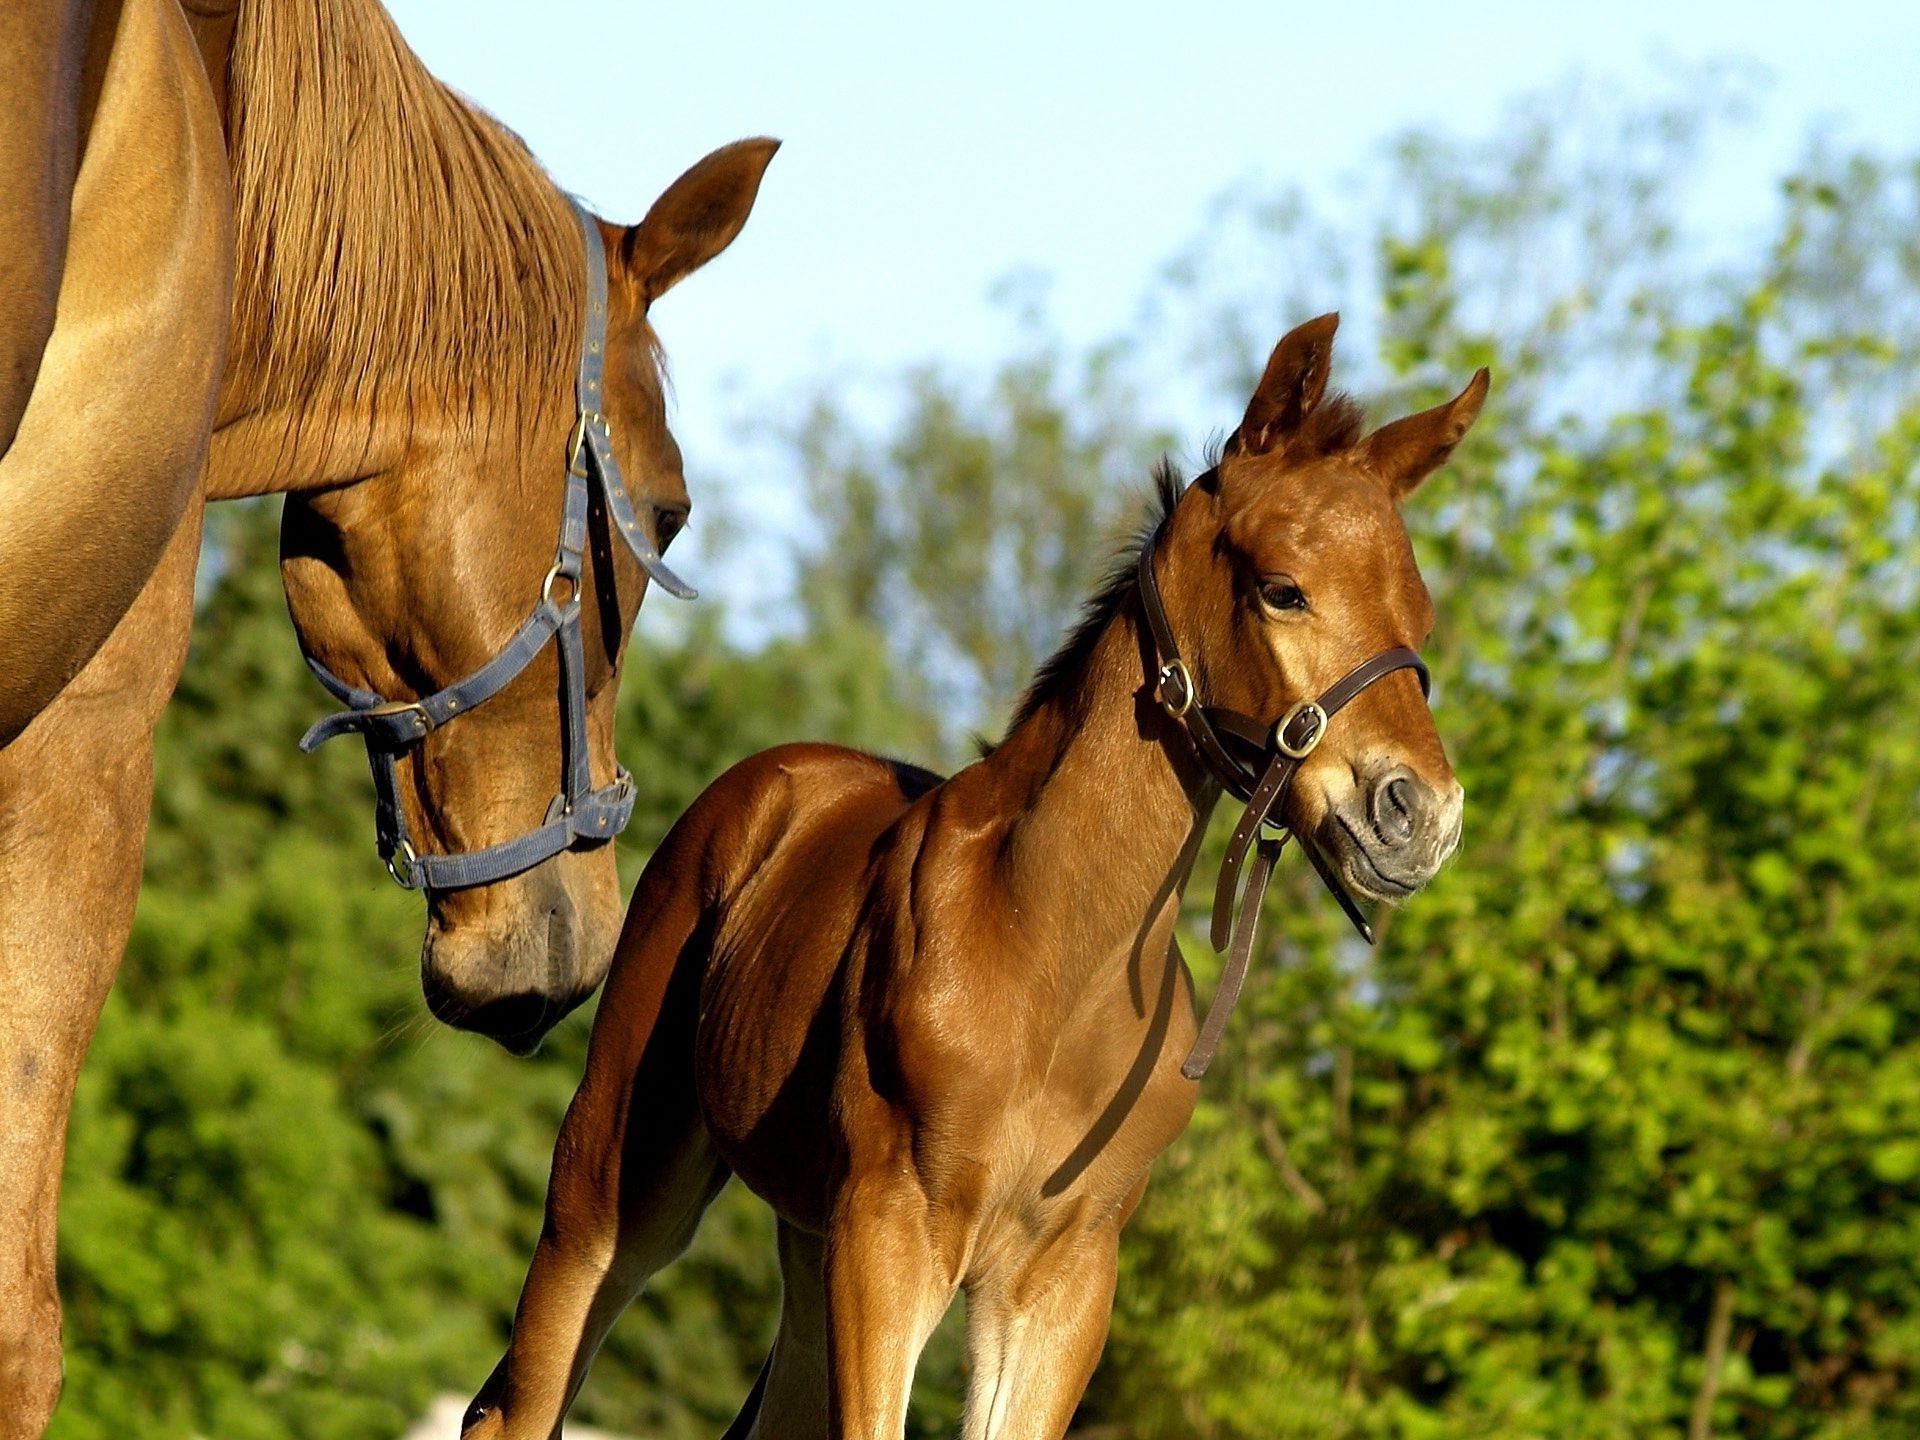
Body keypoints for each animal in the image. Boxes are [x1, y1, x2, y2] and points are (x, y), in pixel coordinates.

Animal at [464, 318, 1482, 1440]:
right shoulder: (892, 1230)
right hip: (616, 1174)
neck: (1052, 958)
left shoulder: (1064, 1273)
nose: (1420, 814)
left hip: (805, 1236)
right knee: (517, 1400)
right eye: (1282, 588)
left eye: (1420, 616)